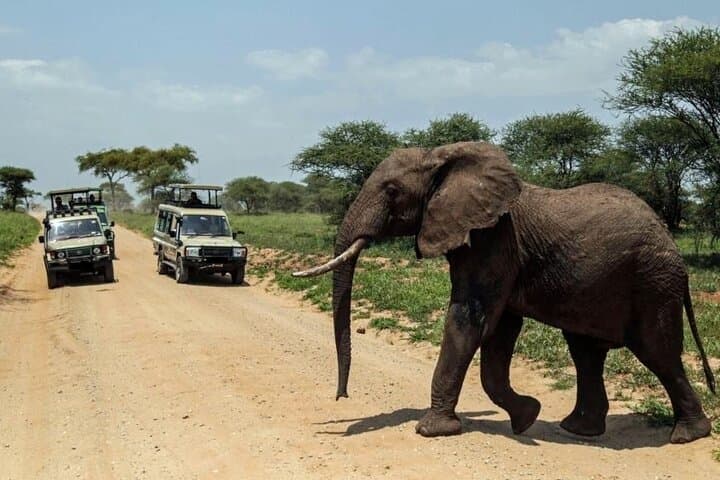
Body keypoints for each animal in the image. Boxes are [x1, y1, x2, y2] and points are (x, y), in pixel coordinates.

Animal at [293, 141, 716, 444]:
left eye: (393, 191)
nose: (341, 396)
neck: (442, 158)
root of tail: (670, 241)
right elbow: (498, 332)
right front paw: (527, 417)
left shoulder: (494, 240)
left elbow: (470, 320)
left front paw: (432, 431)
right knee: (586, 352)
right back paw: (578, 430)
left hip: (653, 281)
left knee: (656, 351)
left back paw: (687, 436)